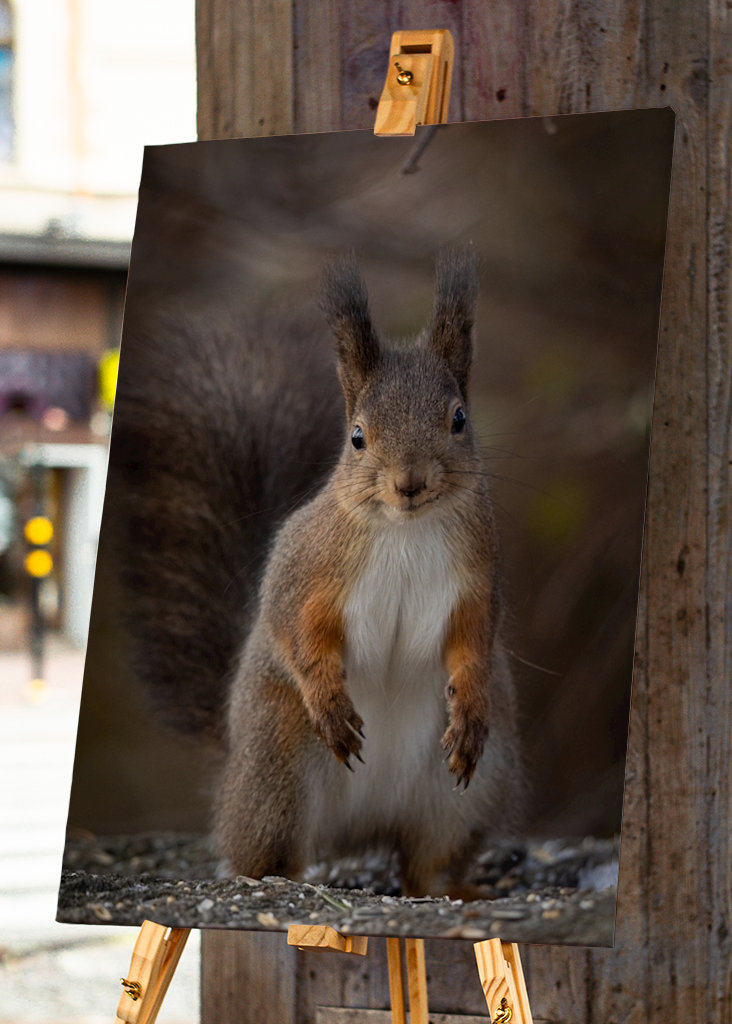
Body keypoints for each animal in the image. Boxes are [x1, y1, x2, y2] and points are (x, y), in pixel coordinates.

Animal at [211, 248, 523, 897]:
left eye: (459, 419)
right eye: (357, 436)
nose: (410, 482)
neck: (405, 528)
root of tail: (362, 828)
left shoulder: (478, 581)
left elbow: (475, 641)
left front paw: (469, 704)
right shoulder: (307, 568)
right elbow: (295, 628)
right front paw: (329, 699)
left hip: (469, 791)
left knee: (427, 861)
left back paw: (454, 888)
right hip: (277, 765)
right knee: (266, 851)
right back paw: (278, 879)